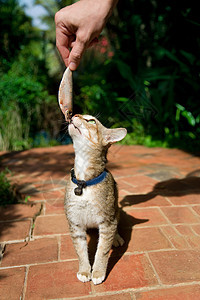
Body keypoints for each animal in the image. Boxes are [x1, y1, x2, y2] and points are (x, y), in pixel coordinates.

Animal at [65, 113, 126, 284]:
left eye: (91, 121)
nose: (74, 114)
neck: (84, 183)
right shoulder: (75, 223)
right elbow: (80, 251)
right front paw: (84, 270)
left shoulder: (107, 222)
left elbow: (102, 250)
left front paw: (98, 272)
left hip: (116, 211)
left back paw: (117, 238)